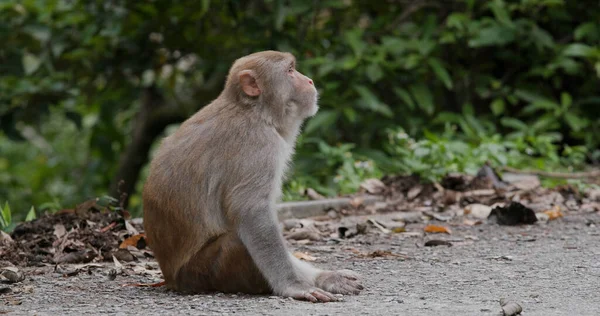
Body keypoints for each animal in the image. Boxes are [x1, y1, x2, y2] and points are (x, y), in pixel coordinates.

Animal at [143, 50, 364, 302]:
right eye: (290, 70)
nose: (309, 81)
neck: (254, 111)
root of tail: (170, 278)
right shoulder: (259, 146)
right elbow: (252, 212)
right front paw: (294, 286)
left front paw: (324, 278)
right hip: (202, 272)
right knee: (238, 240)